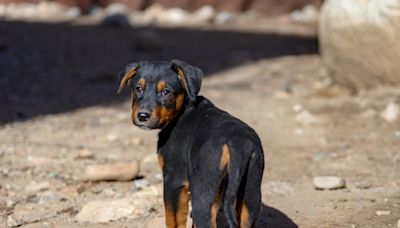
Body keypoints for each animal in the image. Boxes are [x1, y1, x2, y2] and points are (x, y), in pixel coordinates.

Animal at [117, 59, 264, 227]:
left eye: (166, 92)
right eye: (138, 88)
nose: (142, 116)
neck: (181, 111)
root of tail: (235, 143)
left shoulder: (174, 179)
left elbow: (173, 219)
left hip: (202, 191)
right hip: (250, 193)